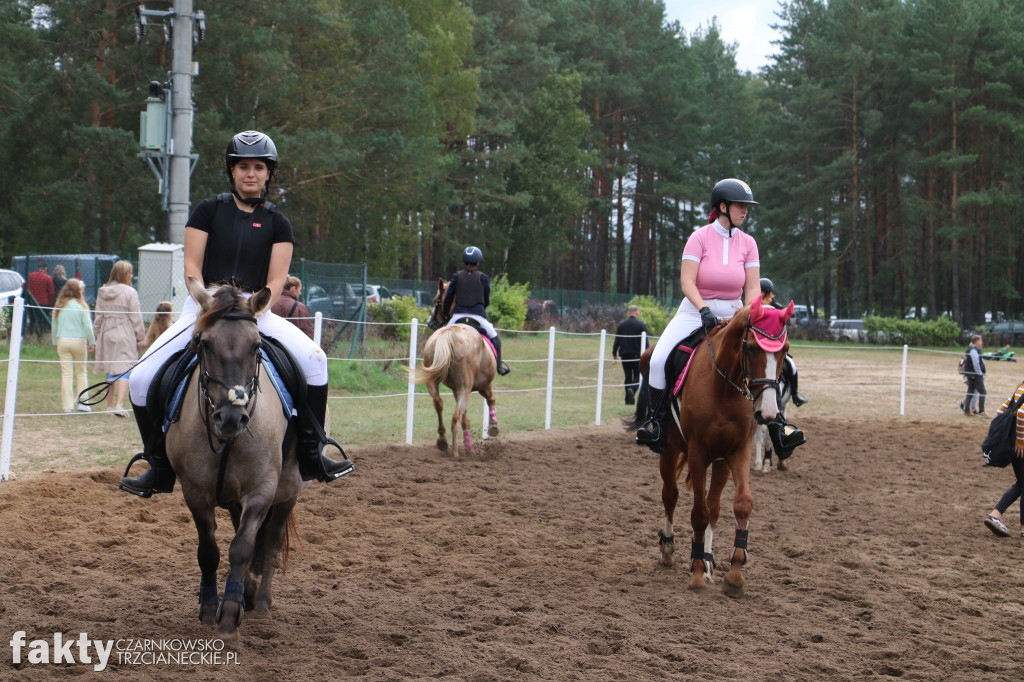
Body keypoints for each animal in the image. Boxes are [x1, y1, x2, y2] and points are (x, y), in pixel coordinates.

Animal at [167, 276, 309, 638]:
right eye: (204, 344)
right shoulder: (193, 492)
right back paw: (248, 593)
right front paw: (209, 608)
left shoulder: (262, 490)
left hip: (288, 490)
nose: (231, 417)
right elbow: (209, 551)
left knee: (270, 542)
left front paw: (230, 613)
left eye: (256, 347)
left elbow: (243, 548)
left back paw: (261, 602)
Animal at [411, 276, 499, 456]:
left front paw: (469, 445)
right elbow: (491, 400)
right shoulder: (483, 385)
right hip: (467, 387)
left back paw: (443, 441)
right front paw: (493, 427)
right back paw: (456, 452)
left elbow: (466, 419)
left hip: (435, 383)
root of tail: (448, 334)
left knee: (439, 404)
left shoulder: (456, 390)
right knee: (455, 417)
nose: (430, 322)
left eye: (436, 300)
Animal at [622, 296, 790, 593]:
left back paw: (709, 559)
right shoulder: (698, 453)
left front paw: (733, 573)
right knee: (671, 495)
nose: (769, 412)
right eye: (752, 348)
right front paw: (698, 572)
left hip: (721, 461)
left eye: (785, 351)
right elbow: (698, 513)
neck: (724, 387)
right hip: (670, 450)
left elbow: (740, 504)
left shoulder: (737, 452)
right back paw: (669, 551)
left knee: (715, 506)